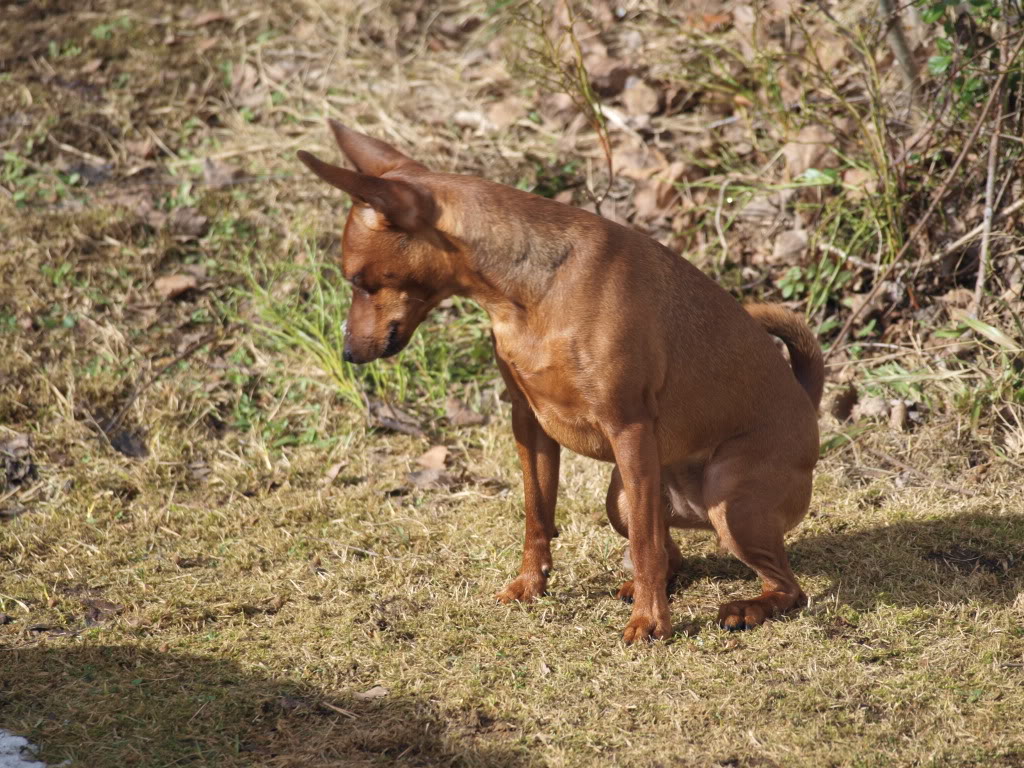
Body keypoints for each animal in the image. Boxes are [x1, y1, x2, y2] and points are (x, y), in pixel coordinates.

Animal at [296, 123, 823, 647]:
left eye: (360, 282)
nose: (348, 352)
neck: (529, 294)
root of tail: (807, 399)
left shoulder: (628, 427)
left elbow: (644, 544)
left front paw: (651, 622)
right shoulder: (528, 424)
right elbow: (538, 515)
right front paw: (531, 584)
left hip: (728, 504)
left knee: (786, 587)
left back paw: (744, 607)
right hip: (624, 499)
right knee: (668, 550)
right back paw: (645, 587)